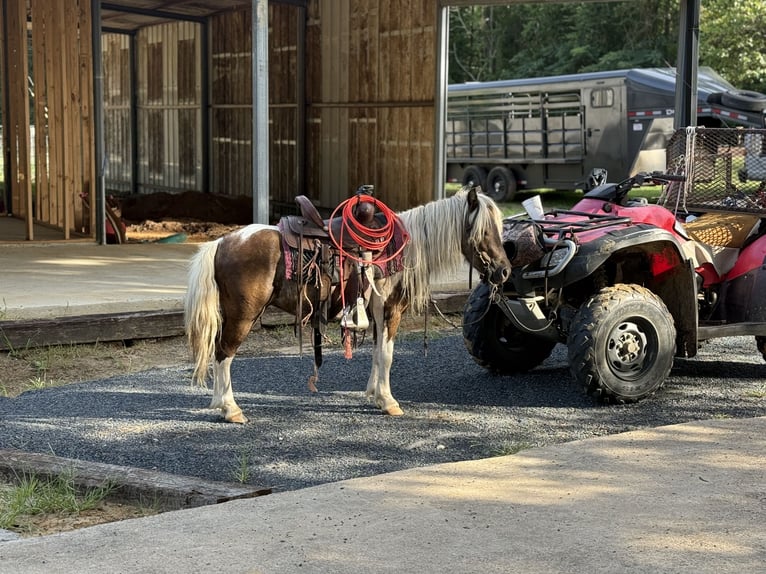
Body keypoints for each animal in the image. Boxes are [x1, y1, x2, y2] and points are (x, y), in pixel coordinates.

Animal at [184, 187, 512, 423]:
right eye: (484, 231)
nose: (504, 271)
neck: (399, 250)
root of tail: (221, 243)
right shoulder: (390, 310)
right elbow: (387, 356)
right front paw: (388, 401)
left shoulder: (377, 313)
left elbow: (378, 353)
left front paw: (374, 393)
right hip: (244, 315)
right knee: (224, 354)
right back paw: (231, 409)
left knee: (218, 352)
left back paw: (220, 403)